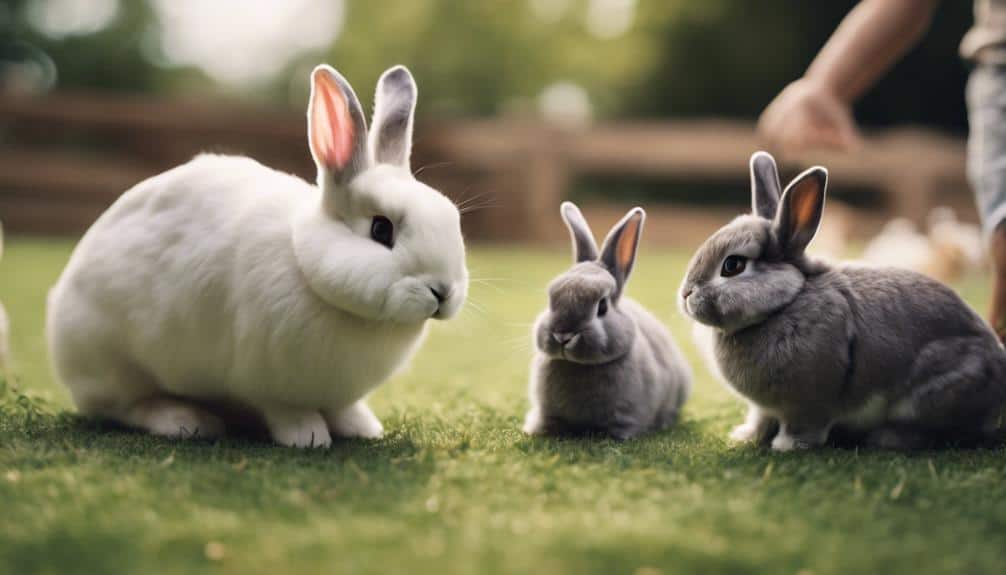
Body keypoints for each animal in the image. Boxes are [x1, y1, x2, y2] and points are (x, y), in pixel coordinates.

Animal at [46, 65, 468, 447]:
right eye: (381, 230)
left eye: (452, 217)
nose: (443, 291)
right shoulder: (265, 380)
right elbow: (286, 410)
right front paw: (308, 437)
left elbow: (342, 408)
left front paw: (362, 428)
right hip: (113, 361)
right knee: (124, 407)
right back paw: (186, 420)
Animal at [523, 202, 692, 440]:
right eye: (551, 298)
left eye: (602, 306)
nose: (563, 335)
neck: (579, 366)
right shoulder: (548, 411)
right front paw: (536, 431)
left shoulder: (625, 416)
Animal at [679, 151, 1006, 451]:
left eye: (732, 266)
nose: (685, 294)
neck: (785, 303)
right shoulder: (763, 407)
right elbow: (759, 418)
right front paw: (745, 436)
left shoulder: (807, 404)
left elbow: (803, 426)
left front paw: (786, 446)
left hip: (929, 396)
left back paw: (886, 438)